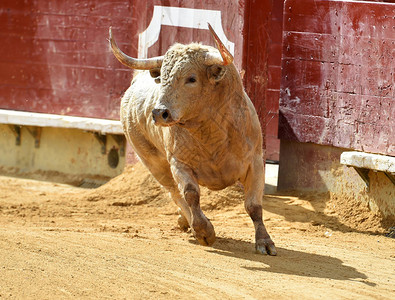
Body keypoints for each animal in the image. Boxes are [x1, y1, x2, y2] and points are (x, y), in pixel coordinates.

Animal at [106, 24, 276, 255]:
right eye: (163, 78)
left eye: (191, 78)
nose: (159, 113)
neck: (212, 133)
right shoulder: (179, 164)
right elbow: (190, 194)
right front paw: (204, 232)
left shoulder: (256, 162)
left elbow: (254, 205)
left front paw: (264, 242)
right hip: (154, 163)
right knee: (175, 193)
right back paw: (190, 223)